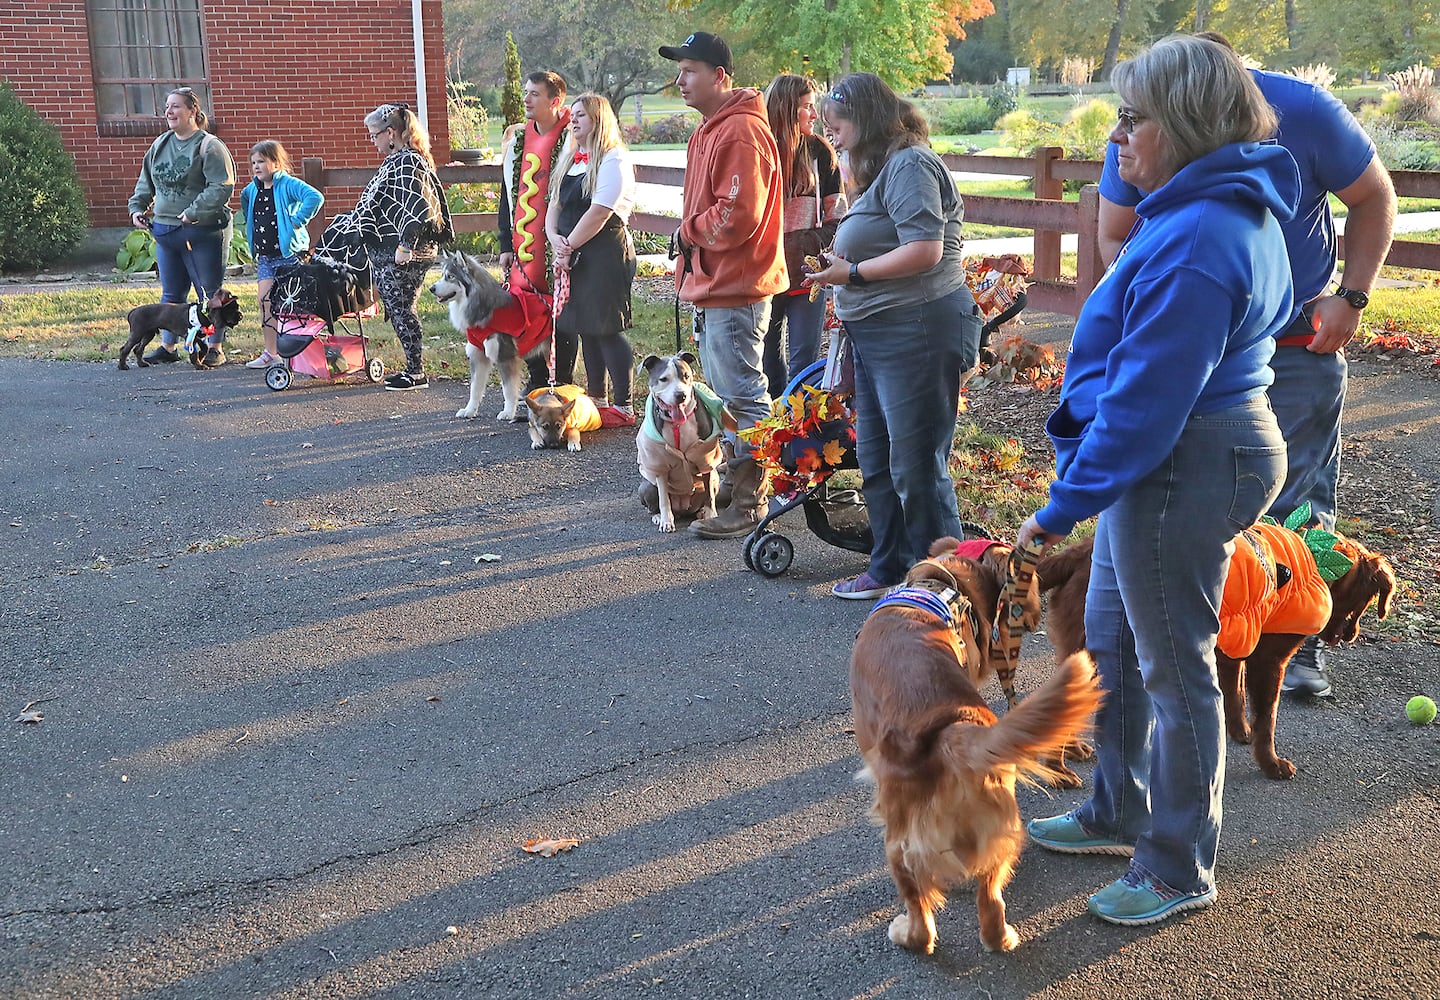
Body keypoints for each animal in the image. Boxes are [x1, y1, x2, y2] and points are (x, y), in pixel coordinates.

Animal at [426, 255, 544, 423]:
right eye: (442, 275)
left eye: (450, 276)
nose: (431, 288)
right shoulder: (478, 356)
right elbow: (474, 389)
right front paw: (470, 410)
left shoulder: (505, 357)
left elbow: (508, 390)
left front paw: (508, 412)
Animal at [852, 544, 1100, 951]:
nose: (1033, 617)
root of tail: (952, 730)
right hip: (1003, 826)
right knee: (991, 899)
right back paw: (1001, 937)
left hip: (899, 841)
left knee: (922, 916)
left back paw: (907, 933)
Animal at [1042, 533, 1388, 783]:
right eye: (1368, 598)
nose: (1353, 634)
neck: (1314, 562)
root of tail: (1076, 553)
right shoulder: (1268, 661)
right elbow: (1267, 719)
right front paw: (1271, 763)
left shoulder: (1236, 645)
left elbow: (1235, 695)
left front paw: (1239, 732)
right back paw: (1058, 771)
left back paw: (1071, 751)